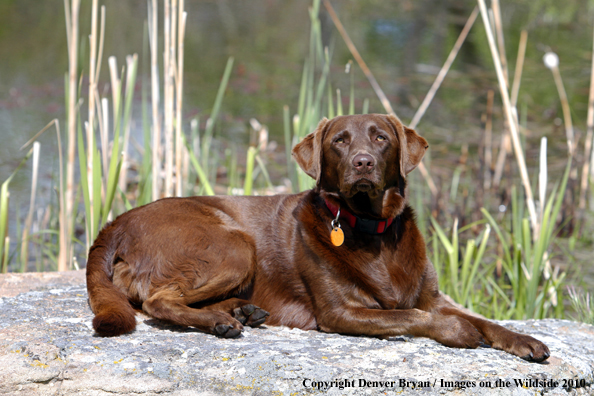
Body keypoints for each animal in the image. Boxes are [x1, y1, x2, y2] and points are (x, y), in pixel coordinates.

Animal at [85, 113, 548, 362]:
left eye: (381, 138)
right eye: (340, 141)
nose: (362, 162)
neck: (370, 228)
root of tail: (115, 223)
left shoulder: (432, 295)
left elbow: (482, 319)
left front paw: (524, 341)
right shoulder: (341, 312)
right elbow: (412, 316)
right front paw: (456, 331)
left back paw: (240, 311)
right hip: (234, 244)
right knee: (157, 300)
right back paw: (222, 320)